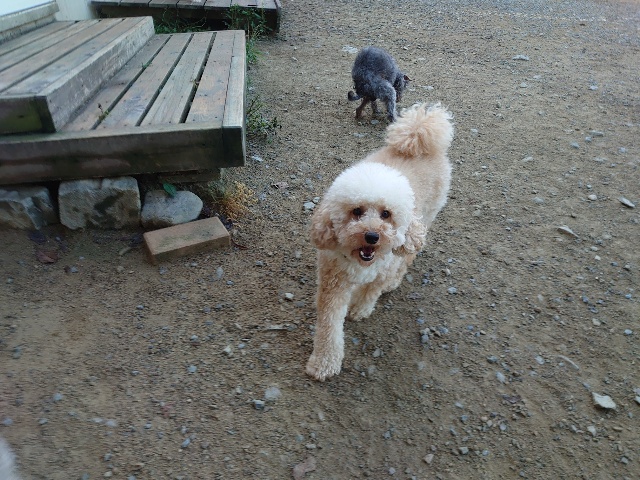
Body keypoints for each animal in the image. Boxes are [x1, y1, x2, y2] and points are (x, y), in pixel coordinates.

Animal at [306, 103, 454, 381]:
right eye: (357, 211)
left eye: (386, 214)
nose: (372, 236)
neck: (361, 262)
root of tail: (421, 130)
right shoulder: (333, 284)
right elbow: (329, 326)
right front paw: (324, 363)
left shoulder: (383, 268)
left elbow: (372, 290)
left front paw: (360, 309)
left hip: (426, 216)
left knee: (409, 255)